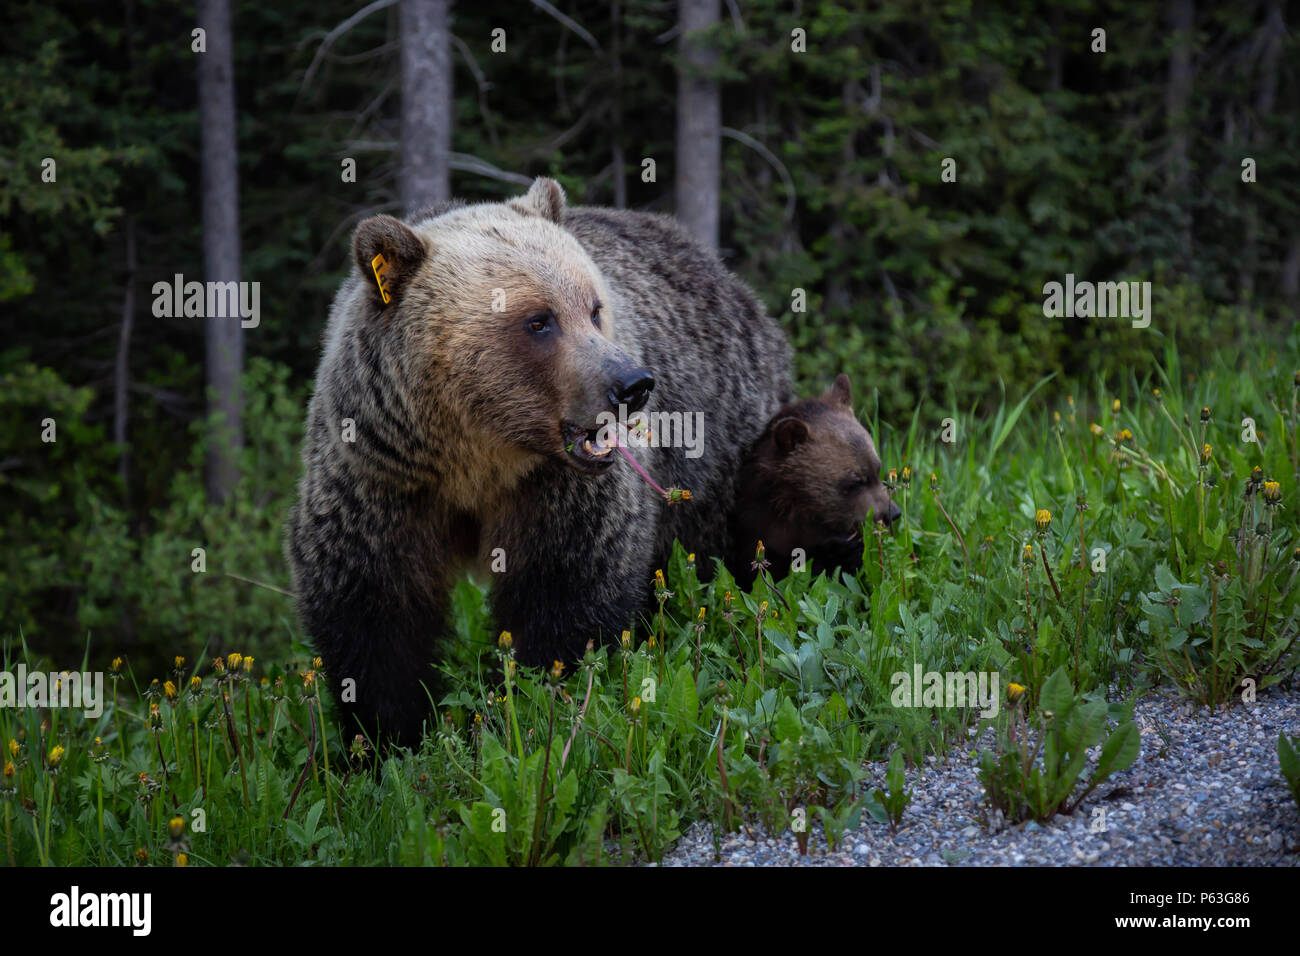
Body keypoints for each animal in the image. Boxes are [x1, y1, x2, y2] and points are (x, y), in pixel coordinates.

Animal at [286, 177, 792, 750]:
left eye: (593, 308)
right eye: (538, 321)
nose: (632, 385)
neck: (474, 460)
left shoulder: (559, 490)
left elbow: (568, 586)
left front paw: (538, 695)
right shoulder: (382, 476)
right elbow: (373, 608)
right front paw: (387, 735)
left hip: (724, 444)